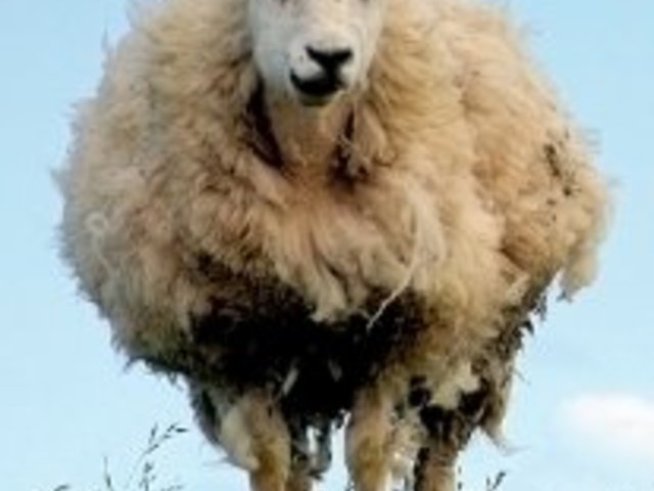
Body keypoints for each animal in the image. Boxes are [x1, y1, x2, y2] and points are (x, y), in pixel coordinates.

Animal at [58, 0, 608, 490]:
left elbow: (368, 456)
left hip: (475, 349)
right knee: (299, 459)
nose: (329, 57)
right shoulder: (244, 347)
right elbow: (270, 462)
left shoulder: (391, 337)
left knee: (437, 458)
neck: (309, 166)